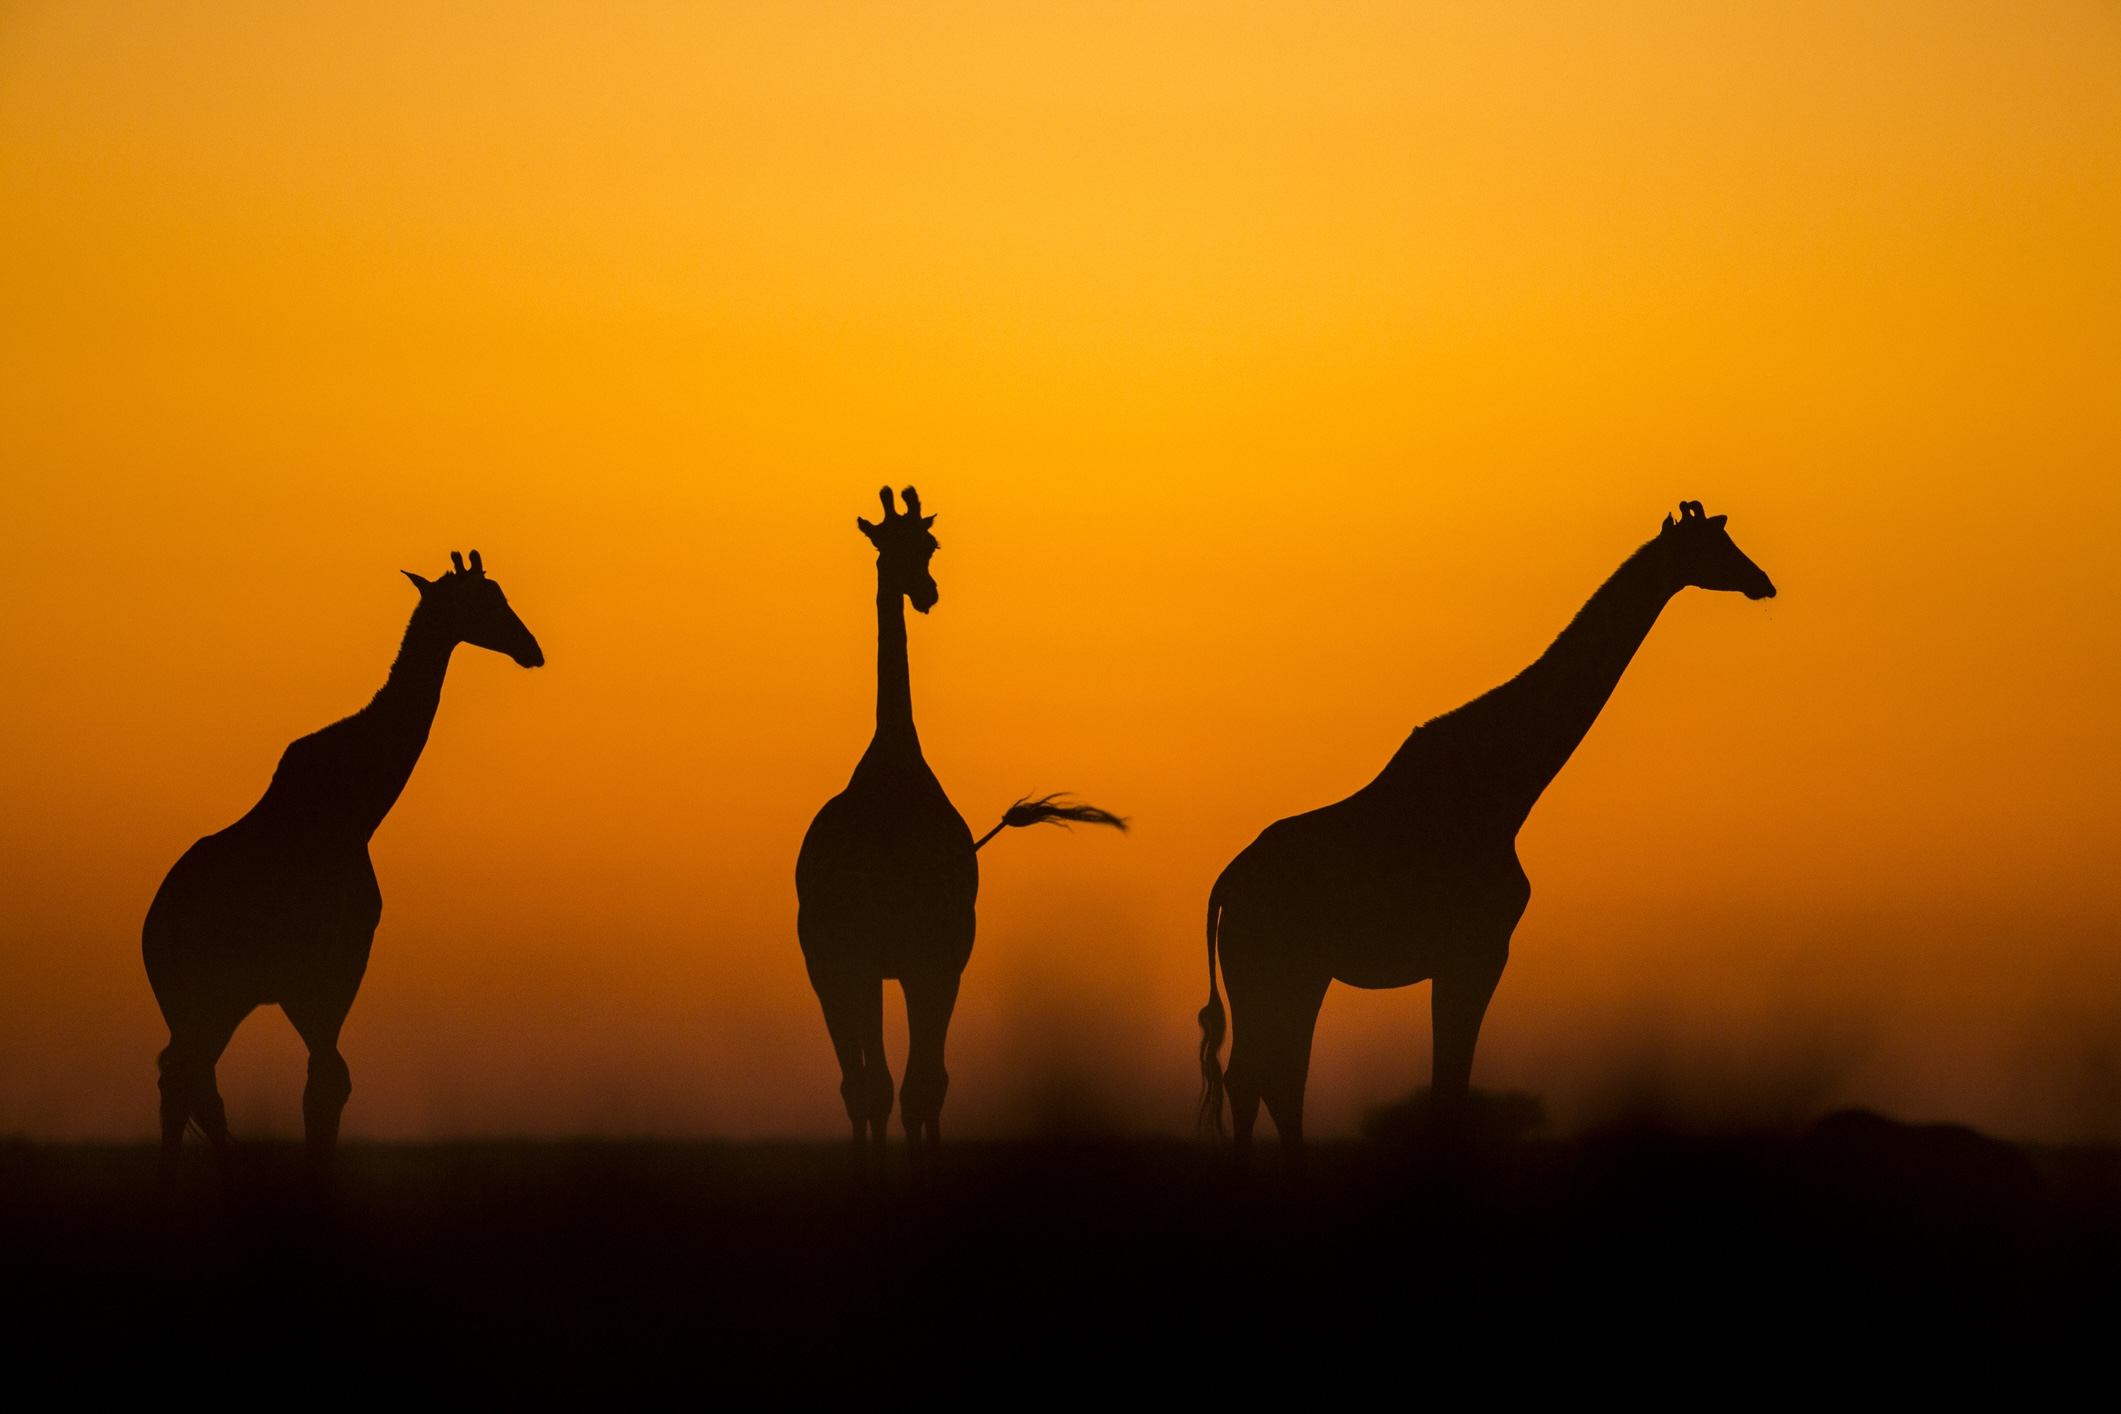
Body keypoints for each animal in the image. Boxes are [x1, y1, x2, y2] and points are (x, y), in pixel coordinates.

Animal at [142, 551, 543, 1184]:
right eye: (481, 602)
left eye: (501, 595)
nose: (531, 648)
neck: (356, 811)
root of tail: (150, 927)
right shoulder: (322, 971)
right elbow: (327, 1081)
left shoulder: (328, 973)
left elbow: (328, 1080)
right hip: (200, 994)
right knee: (187, 1079)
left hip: (211, 1001)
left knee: (191, 1079)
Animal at [796, 486, 1125, 1163]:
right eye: (886, 545)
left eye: (929, 544)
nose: (925, 593)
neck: (893, 771)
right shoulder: (878, 958)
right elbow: (888, 1084)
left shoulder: (940, 958)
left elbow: (926, 1084)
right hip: (833, 964)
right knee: (859, 1082)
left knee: (886, 1080)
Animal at [1197, 502, 1776, 1163]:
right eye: (1715, 545)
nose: (1763, 581)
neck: (1506, 791)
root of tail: (1224, 885)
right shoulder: (1478, 949)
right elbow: (1449, 1085)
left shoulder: (1465, 955)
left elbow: (1447, 1084)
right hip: (1274, 967)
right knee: (1261, 1077)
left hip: (1289, 972)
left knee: (1270, 1077)